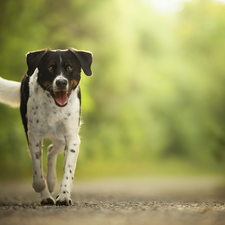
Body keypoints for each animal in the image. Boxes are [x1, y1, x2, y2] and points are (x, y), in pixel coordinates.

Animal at [0, 47, 92, 206]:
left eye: (69, 67)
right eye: (50, 67)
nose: (61, 82)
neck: (54, 106)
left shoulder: (72, 138)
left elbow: (68, 171)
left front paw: (64, 196)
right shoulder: (33, 136)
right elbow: (37, 169)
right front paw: (40, 187)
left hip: (62, 139)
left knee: (51, 151)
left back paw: (52, 181)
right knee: (48, 153)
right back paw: (46, 195)